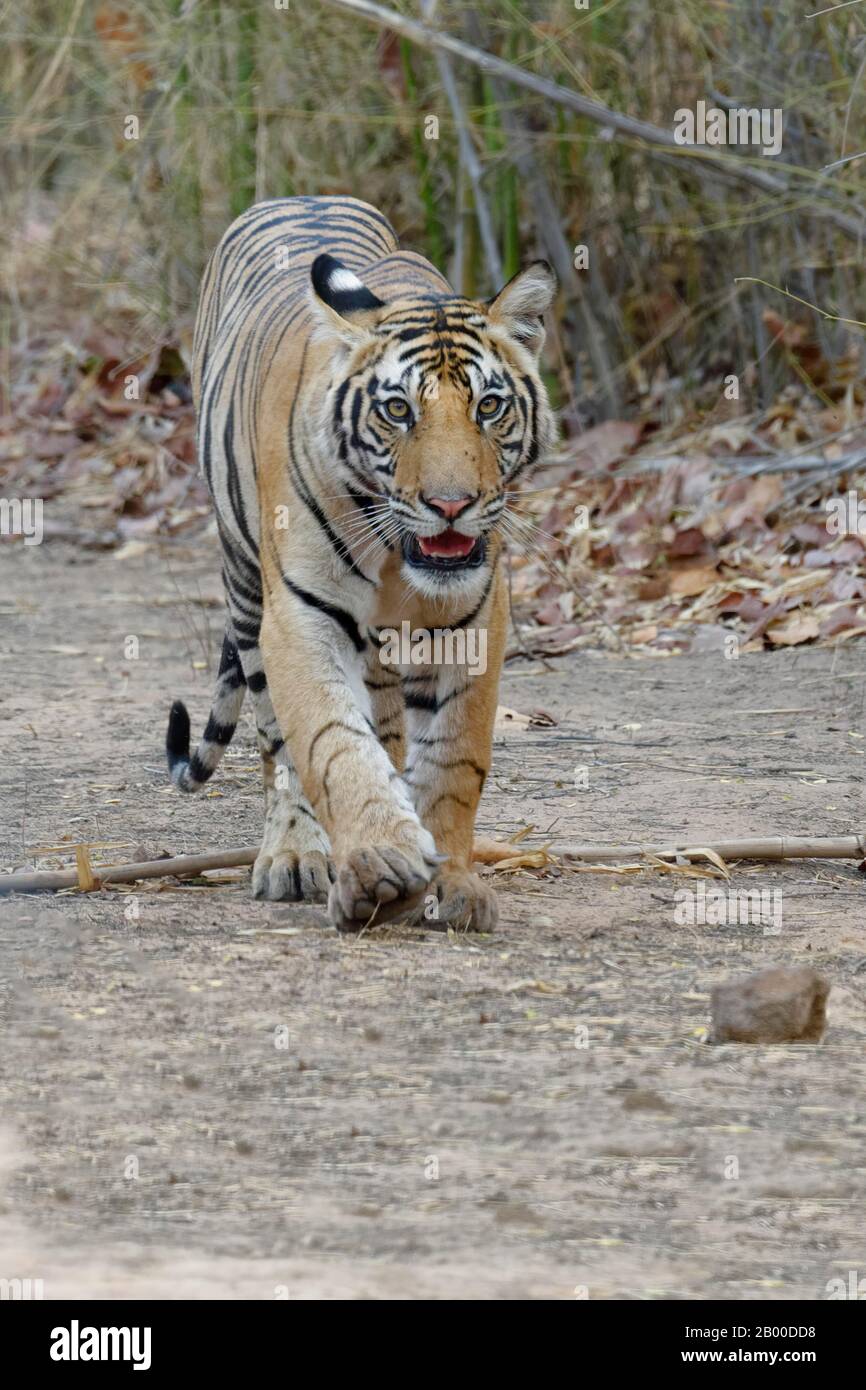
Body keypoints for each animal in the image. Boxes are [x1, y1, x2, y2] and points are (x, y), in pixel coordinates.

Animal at [164, 195, 556, 934]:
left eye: (489, 406)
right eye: (397, 410)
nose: (452, 505)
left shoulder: (472, 617)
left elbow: (455, 758)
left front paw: (450, 881)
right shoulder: (301, 616)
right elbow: (331, 742)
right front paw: (379, 860)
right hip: (245, 589)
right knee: (277, 741)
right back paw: (295, 854)